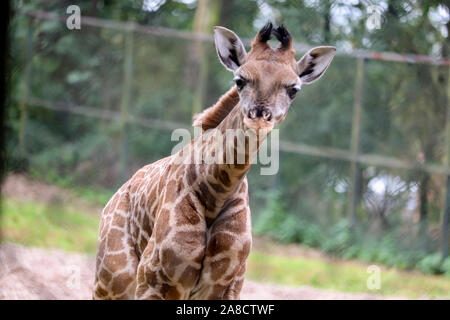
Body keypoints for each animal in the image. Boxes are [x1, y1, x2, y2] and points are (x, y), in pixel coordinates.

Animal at [93, 22, 336, 300]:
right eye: (239, 80)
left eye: (293, 89)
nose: (259, 119)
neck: (217, 191)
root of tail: (114, 198)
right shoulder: (154, 280)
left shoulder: (224, 287)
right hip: (112, 282)